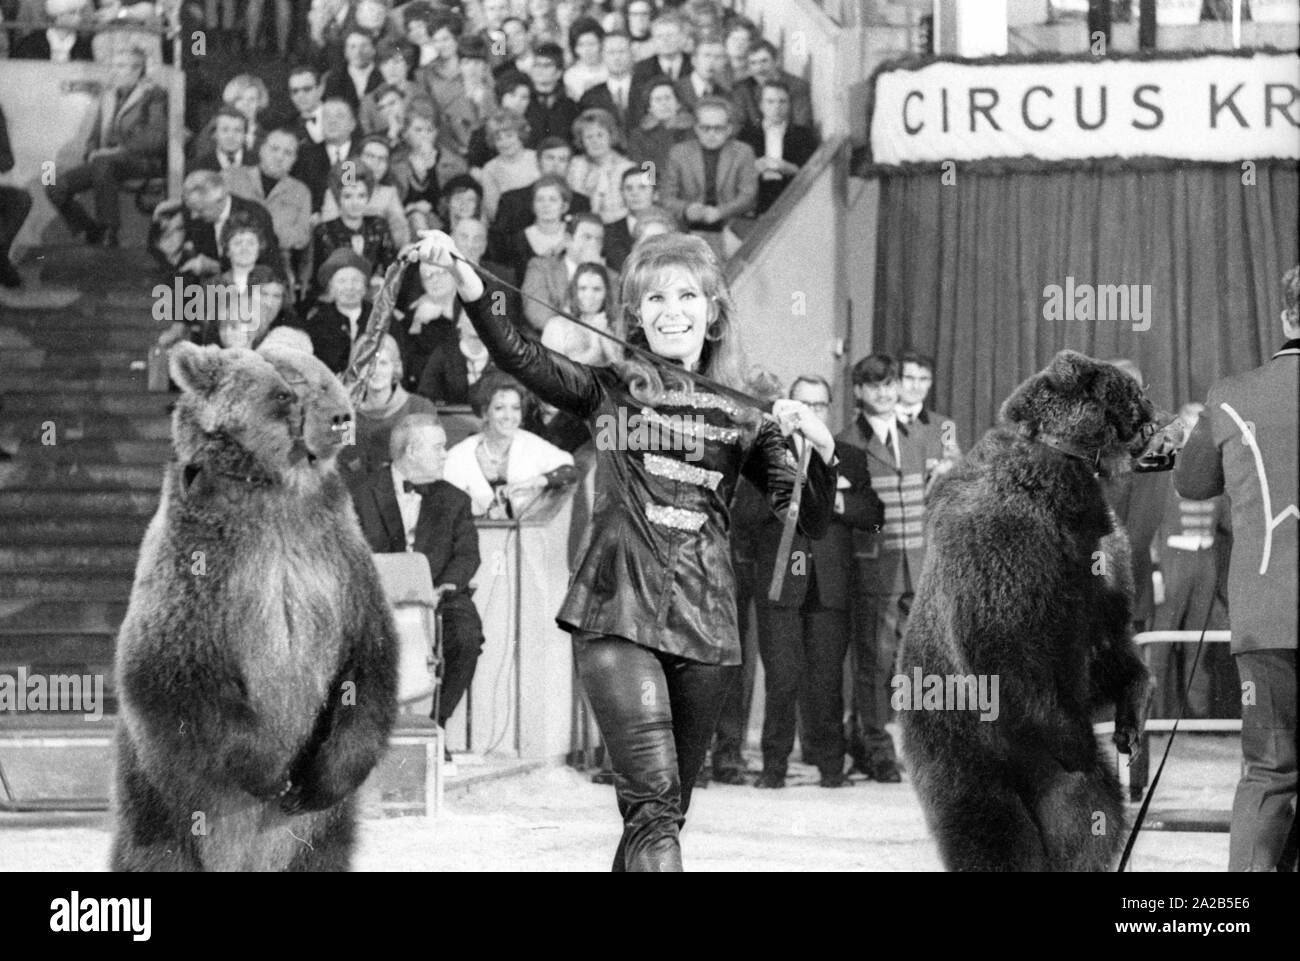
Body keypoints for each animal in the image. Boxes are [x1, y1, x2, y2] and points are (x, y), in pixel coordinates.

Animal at [109, 340, 397, 873]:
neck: (275, 491)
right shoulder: (201, 570)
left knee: (325, 852)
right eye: (286, 391)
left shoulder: (340, 562)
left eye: (326, 379)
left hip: (318, 835)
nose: (341, 418)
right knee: (155, 848)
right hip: (160, 797)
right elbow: (175, 671)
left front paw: (313, 783)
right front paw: (273, 774)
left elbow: (369, 664)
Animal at [899, 351, 1164, 873]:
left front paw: (1133, 711)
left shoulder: (1104, 558)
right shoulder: (1013, 554)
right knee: (1012, 822)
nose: (1157, 417)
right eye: (1135, 391)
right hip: (959, 743)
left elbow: (1111, 644)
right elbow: (1012, 646)